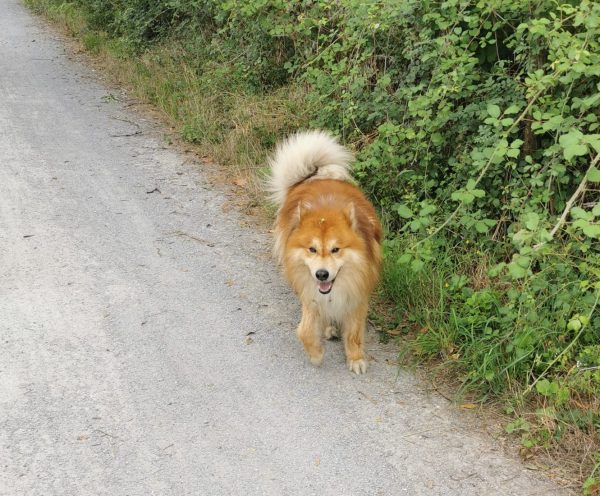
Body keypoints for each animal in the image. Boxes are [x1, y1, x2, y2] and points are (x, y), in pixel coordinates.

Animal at [270, 130, 382, 374]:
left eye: (335, 249)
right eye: (312, 249)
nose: (322, 274)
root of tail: (318, 176)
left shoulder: (357, 294)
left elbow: (354, 332)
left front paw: (355, 358)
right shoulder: (311, 295)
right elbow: (304, 330)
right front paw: (316, 354)